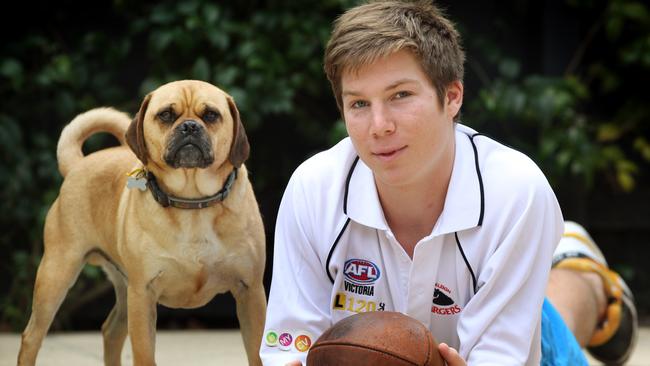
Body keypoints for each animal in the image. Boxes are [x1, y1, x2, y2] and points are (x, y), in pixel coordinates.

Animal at [17, 81, 266, 366]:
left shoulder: (250, 291)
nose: (190, 126)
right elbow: (144, 353)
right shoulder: (143, 293)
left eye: (211, 115)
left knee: (111, 331)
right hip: (57, 274)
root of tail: (78, 165)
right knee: (32, 336)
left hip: (121, 289)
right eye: (166, 115)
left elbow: (258, 352)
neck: (192, 202)